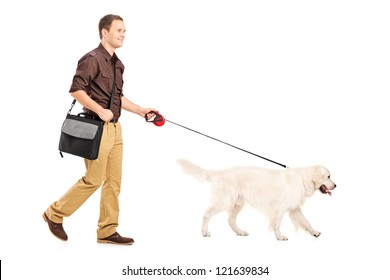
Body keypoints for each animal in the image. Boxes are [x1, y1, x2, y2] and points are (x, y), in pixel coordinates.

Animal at [176, 160, 336, 241]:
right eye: (328, 176)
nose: (335, 185)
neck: (302, 179)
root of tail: (219, 172)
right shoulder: (280, 208)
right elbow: (277, 224)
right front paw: (279, 236)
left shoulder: (295, 208)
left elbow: (306, 222)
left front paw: (314, 232)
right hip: (224, 201)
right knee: (207, 214)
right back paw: (205, 232)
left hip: (237, 203)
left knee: (230, 220)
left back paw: (240, 232)